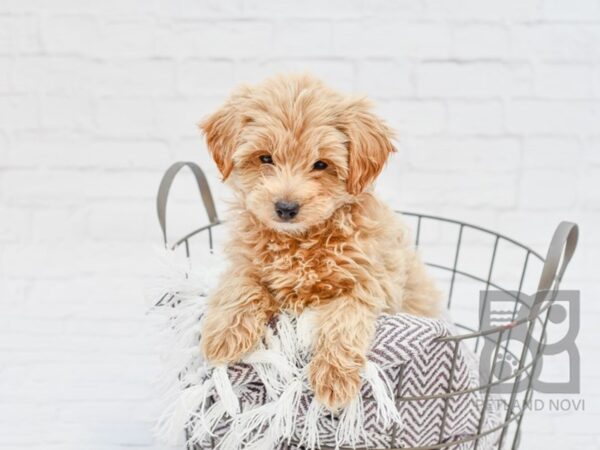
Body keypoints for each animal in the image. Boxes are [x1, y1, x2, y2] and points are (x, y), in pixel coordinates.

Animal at [199, 74, 438, 412]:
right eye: (265, 158)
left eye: (321, 164)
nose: (286, 208)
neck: (299, 240)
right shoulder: (244, 263)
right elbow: (241, 287)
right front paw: (224, 336)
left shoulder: (369, 283)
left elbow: (344, 320)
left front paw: (333, 377)